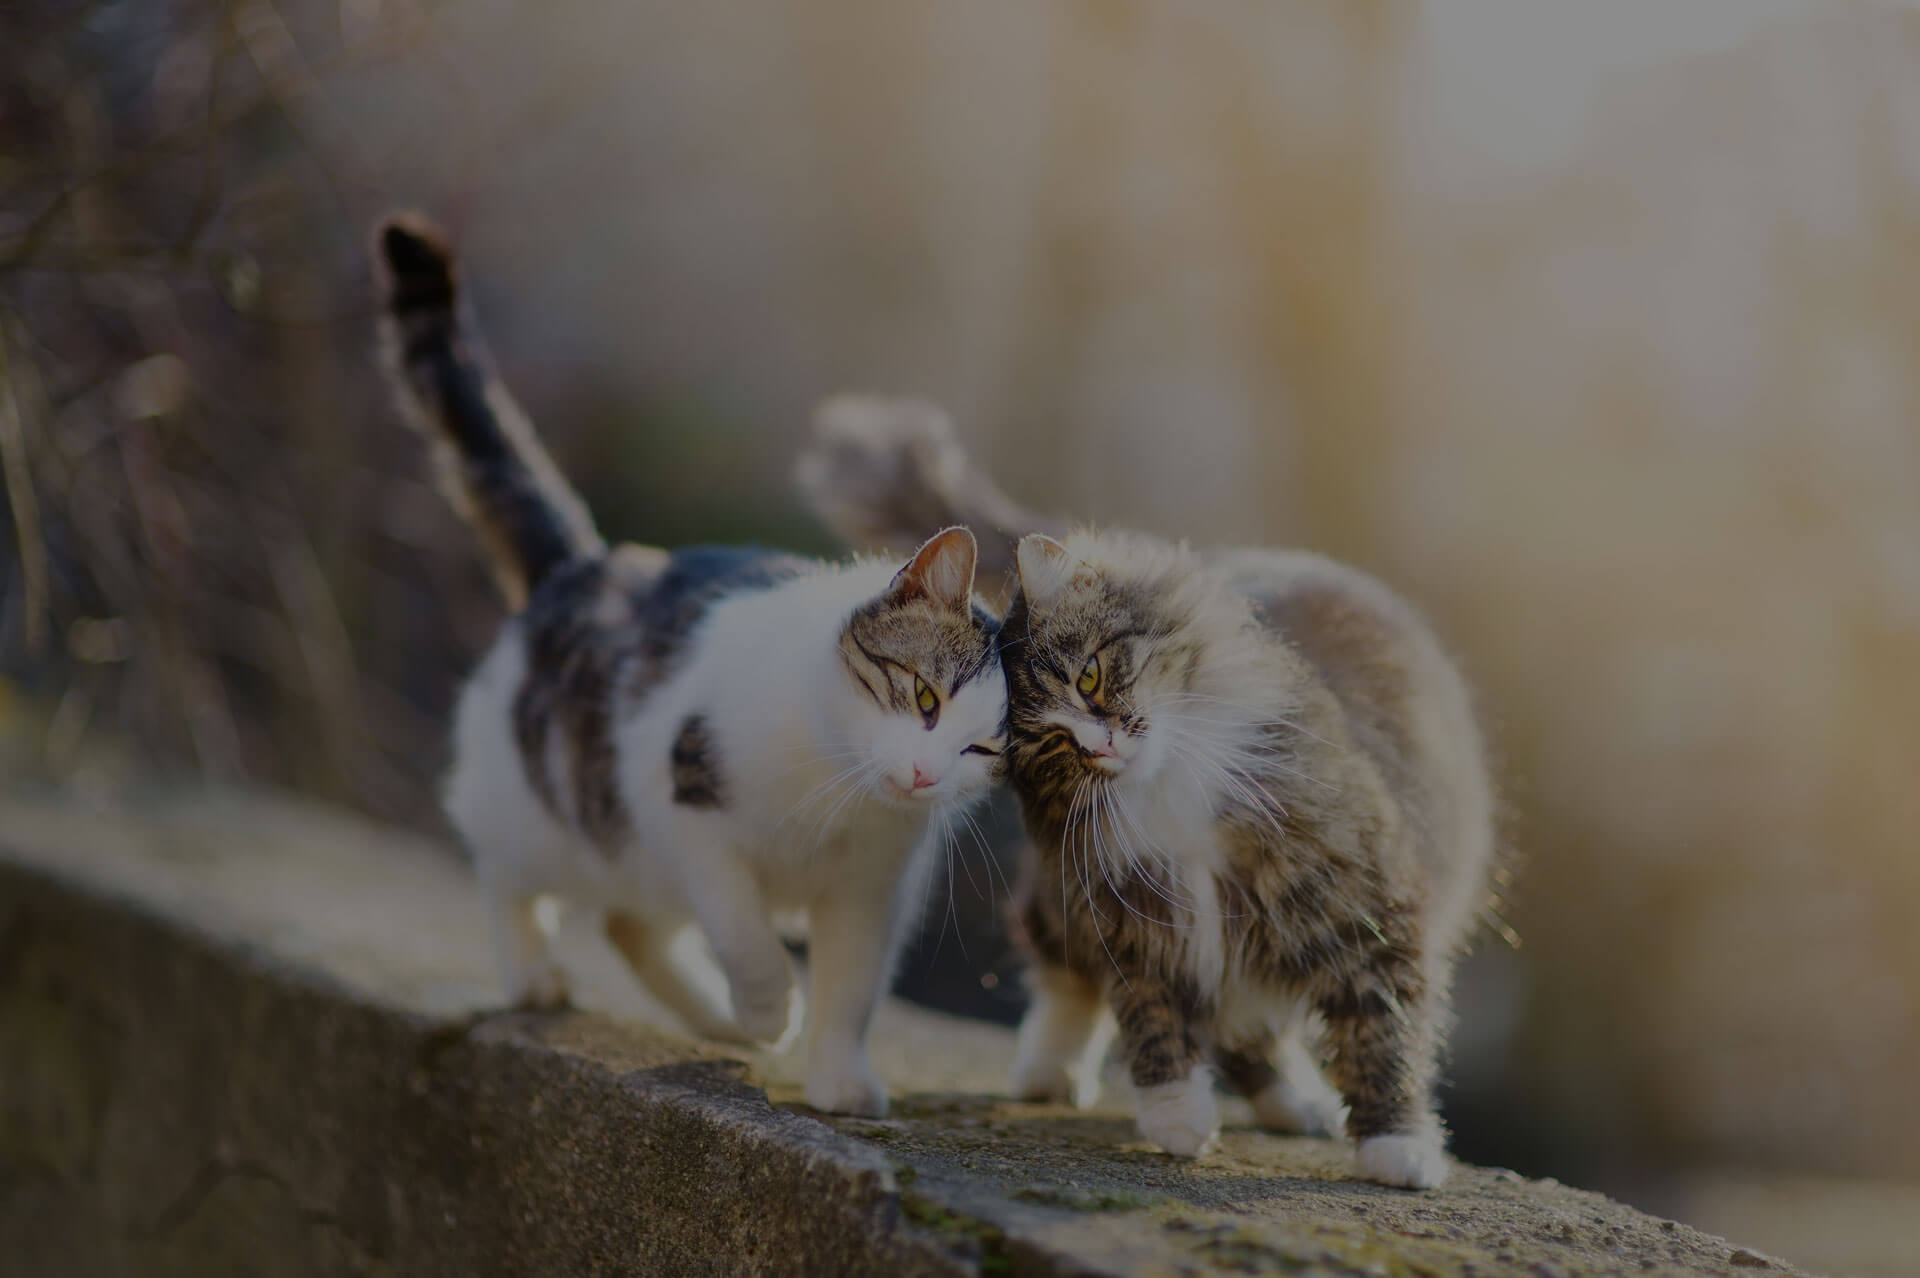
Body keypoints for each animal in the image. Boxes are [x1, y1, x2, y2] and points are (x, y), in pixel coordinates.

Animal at [366, 221, 1013, 1112]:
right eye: (924, 696)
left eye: (983, 749)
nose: (923, 776)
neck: (835, 793)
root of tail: (586, 561)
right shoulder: (685, 804)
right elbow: (744, 931)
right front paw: (770, 1006)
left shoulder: (871, 893)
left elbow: (851, 988)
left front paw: (836, 1076)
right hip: (551, 811)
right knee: (506, 869)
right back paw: (537, 973)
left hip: (634, 857)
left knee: (628, 921)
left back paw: (712, 1018)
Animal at [794, 393, 1497, 1182]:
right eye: (1051, 746)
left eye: (1090, 678)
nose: (1103, 744)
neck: (1168, 793)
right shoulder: (1127, 911)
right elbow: (1154, 1017)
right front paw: (1177, 1116)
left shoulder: (1356, 901)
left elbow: (1383, 1030)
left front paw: (1398, 1146)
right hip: (1063, 896)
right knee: (1074, 979)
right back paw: (1053, 1072)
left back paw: (1298, 1104)